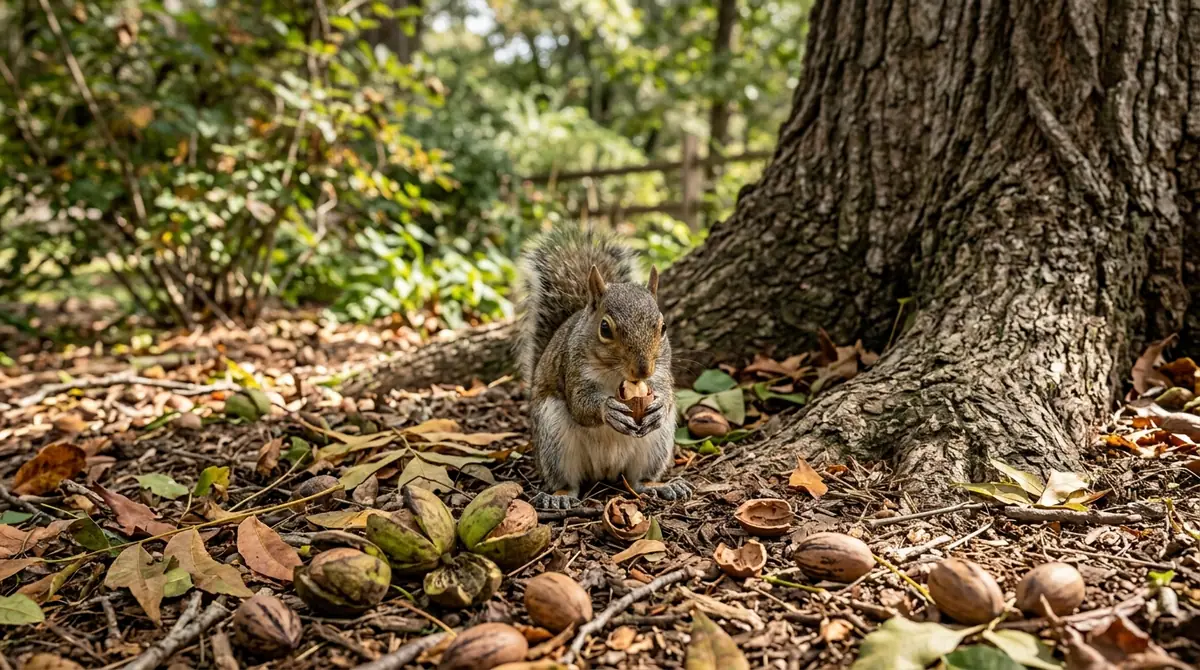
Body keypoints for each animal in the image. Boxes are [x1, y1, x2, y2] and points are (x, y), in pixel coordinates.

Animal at [516, 227, 692, 509]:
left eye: (663, 327)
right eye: (605, 328)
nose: (642, 370)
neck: (616, 375)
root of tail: (605, 470)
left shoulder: (662, 368)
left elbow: (665, 389)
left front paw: (659, 404)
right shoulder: (573, 367)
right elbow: (580, 404)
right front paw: (608, 409)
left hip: (656, 443)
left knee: (639, 479)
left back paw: (661, 486)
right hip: (554, 438)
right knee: (567, 482)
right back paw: (559, 497)